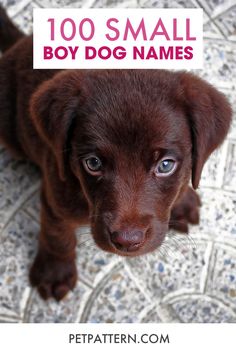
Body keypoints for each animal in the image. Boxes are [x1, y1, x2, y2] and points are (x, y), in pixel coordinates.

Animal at [0, 8, 231, 300]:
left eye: (165, 165)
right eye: (93, 163)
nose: (127, 241)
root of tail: (21, 42)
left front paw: (183, 200)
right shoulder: (55, 196)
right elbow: (57, 234)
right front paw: (54, 272)